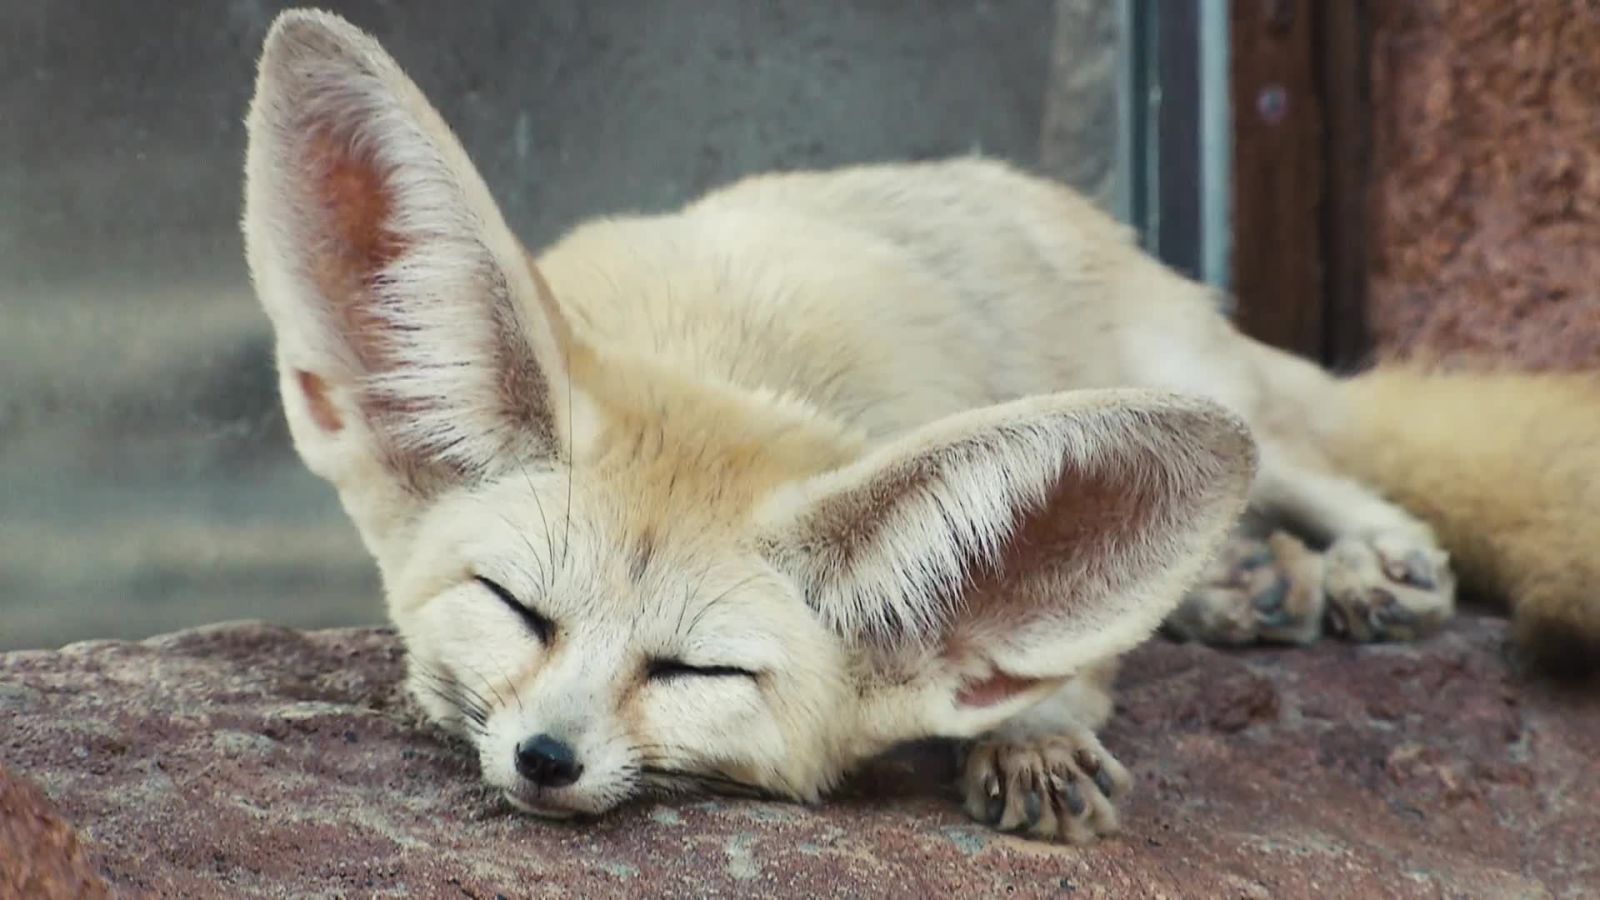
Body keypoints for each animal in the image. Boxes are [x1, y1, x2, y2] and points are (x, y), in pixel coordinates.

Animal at [240, 10, 1600, 845]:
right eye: (519, 609)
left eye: (694, 673)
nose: (545, 759)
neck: (729, 345)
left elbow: (1048, 664)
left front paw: (1035, 736)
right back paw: (1239, 584)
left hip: (1192, 376)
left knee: (1317, 458)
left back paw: (1367, 563)